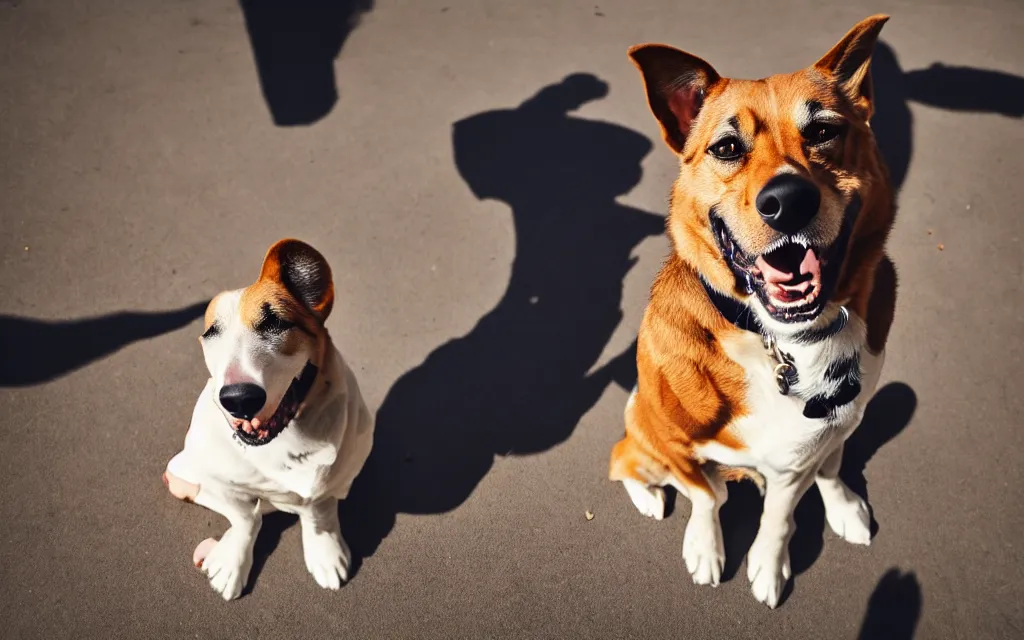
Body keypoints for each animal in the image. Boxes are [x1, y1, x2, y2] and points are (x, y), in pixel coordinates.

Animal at [606, 12, 897, 606]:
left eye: (823, 131)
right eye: (726, 147)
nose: (787, 201)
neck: (785, 342)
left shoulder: (820, 442)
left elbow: (786, 510)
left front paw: (774, 556)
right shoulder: (679, 444)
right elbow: (706, 496)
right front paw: (706, 547)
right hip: (644, 432)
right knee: (624, 462)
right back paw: (648, 496)